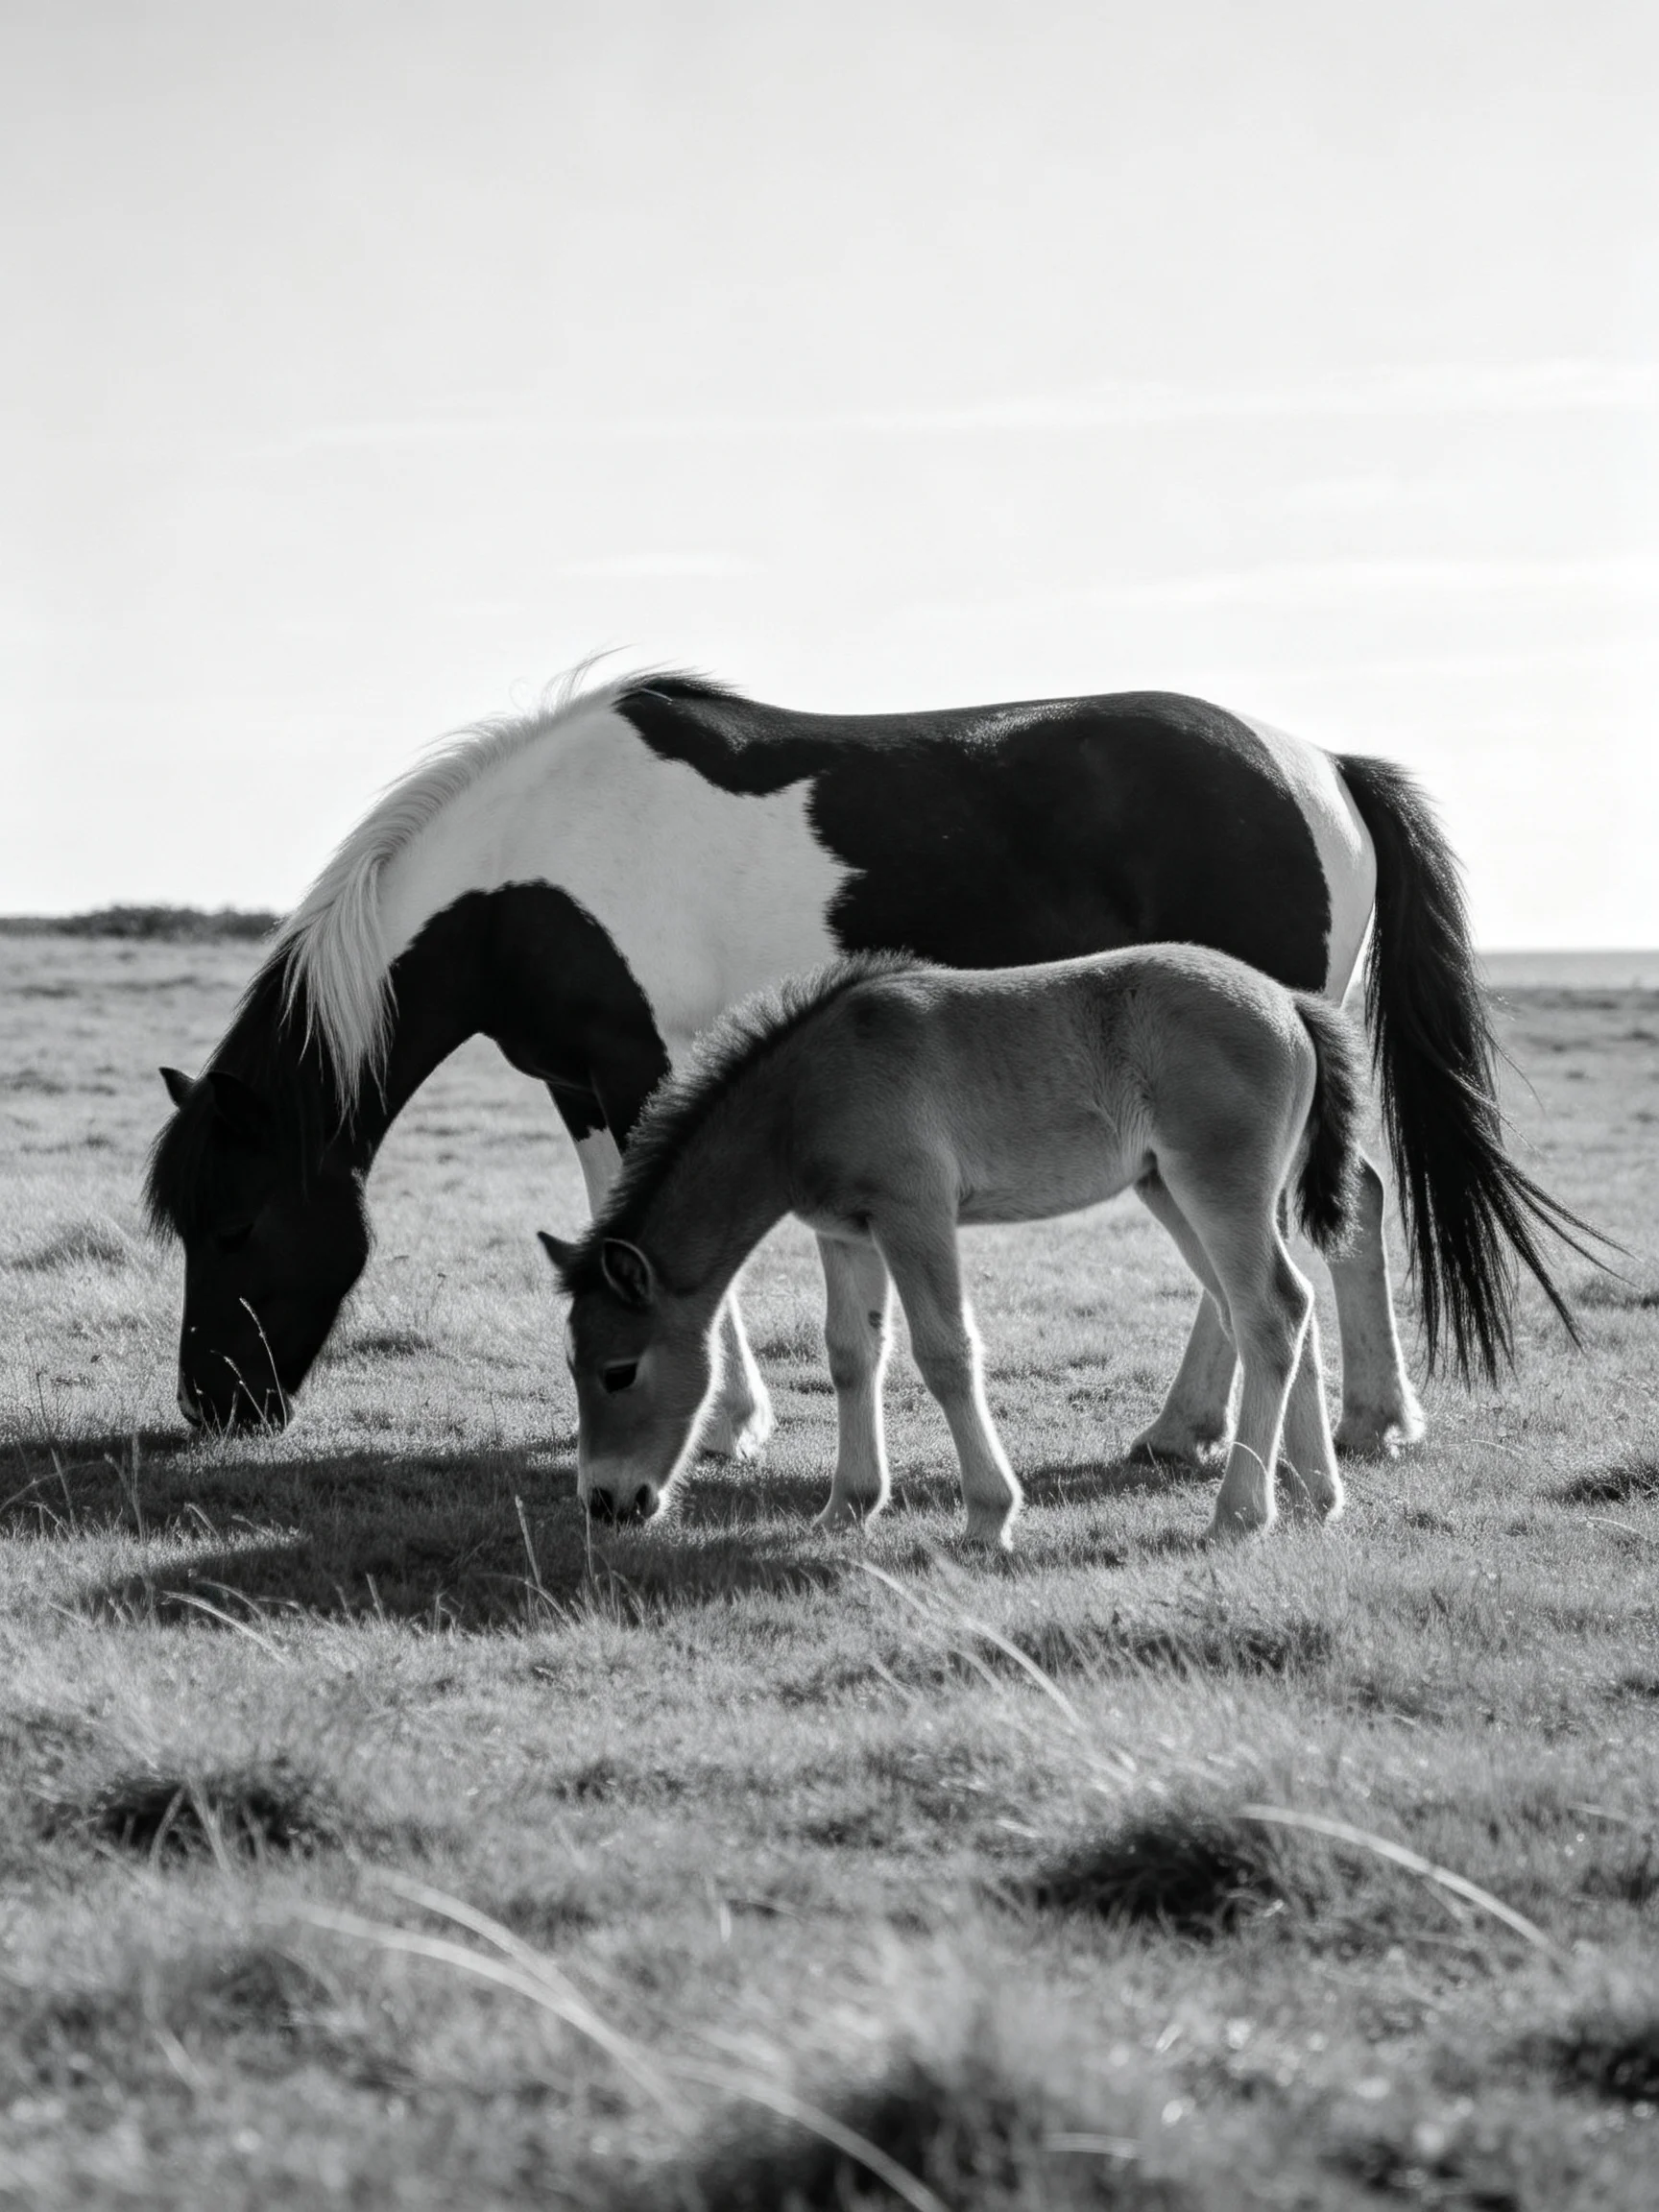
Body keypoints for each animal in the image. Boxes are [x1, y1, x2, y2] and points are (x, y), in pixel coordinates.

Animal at [145, 667, 1594, 1445]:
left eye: (237, 1226)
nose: (214, 1408)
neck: (523, 876)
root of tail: (1320, 764)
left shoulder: (634, 1068)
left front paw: (727, 1421)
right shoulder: (576, 1082)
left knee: (1308, 1230)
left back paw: (1335, 1424)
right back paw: (1235, 1428)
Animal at [539, 946, 1365, 1545]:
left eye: (618, 1371)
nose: (607, 1501)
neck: (805, 1094)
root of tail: (1291, 1002)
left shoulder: (916, 1214)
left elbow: (945, 1353)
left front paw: (987, 1517)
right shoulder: (845, 1232)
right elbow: (850, 1355)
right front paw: (847, 1506)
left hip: (1218, 1189)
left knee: (1269, 1312)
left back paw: (1241, 1512)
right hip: (1170, 1191)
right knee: (1280, 1307)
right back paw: (1314, 1494)